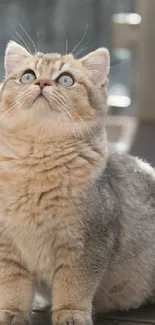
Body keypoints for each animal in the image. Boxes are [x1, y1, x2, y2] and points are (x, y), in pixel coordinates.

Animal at [0, 41, 155, 324]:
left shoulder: (87, 245)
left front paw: (71, 314)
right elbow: (12, 286)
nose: (41, 82)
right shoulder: (7, 246)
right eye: (27, 76)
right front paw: (11, 313)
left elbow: (73, 286)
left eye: (66, 79)